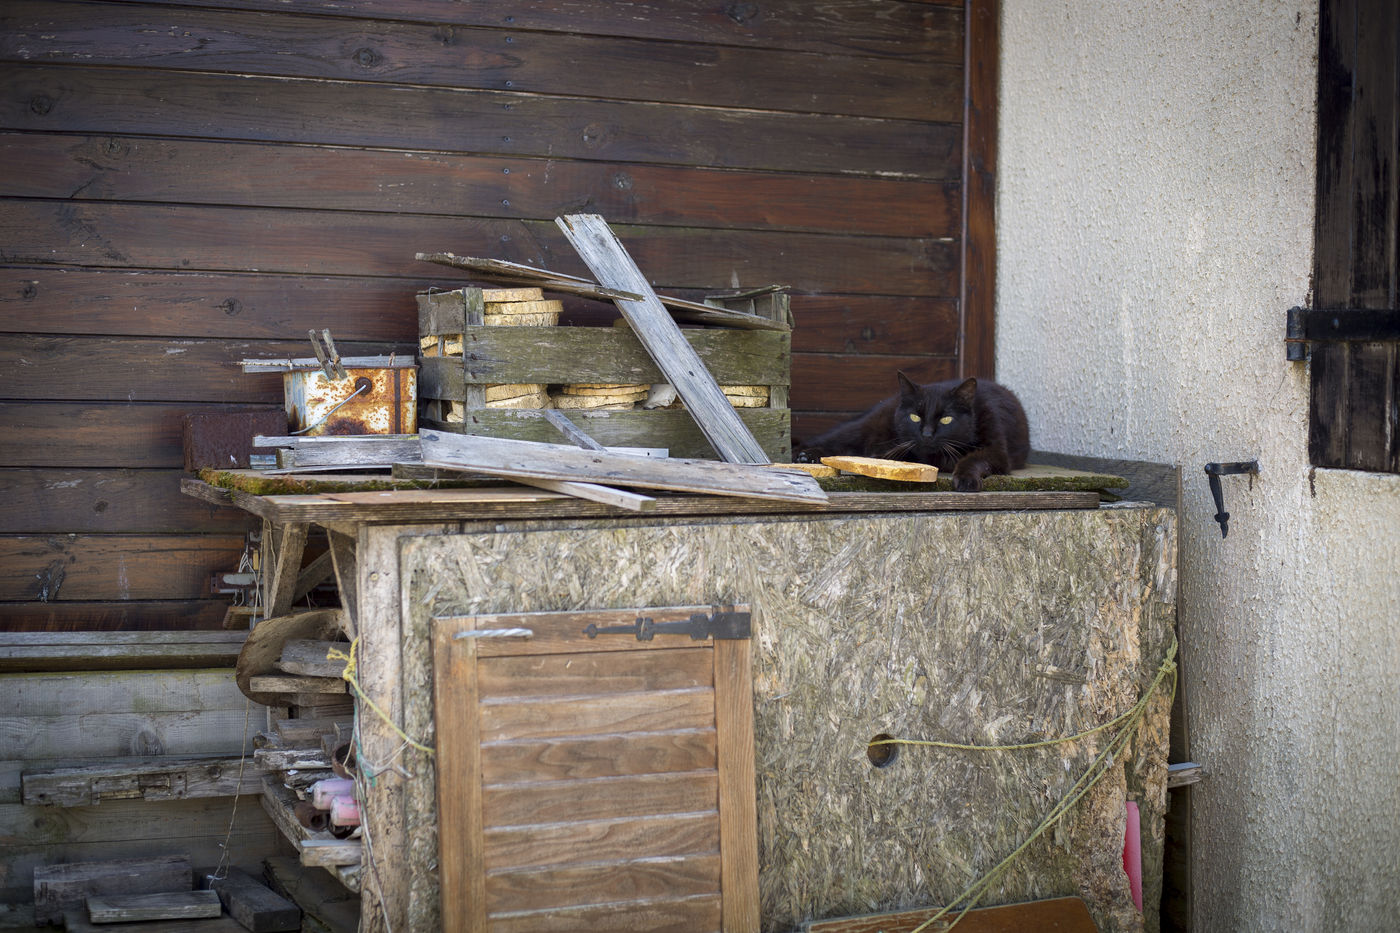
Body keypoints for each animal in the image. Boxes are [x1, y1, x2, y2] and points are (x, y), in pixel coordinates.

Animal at [795, 373, 1030, 492]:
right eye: (915, 417)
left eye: (946, 419)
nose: (926, 434)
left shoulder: (997, 451)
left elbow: (974, 458)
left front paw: (966, 479)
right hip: (862, 427)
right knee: (833, 441)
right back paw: (806, 456)